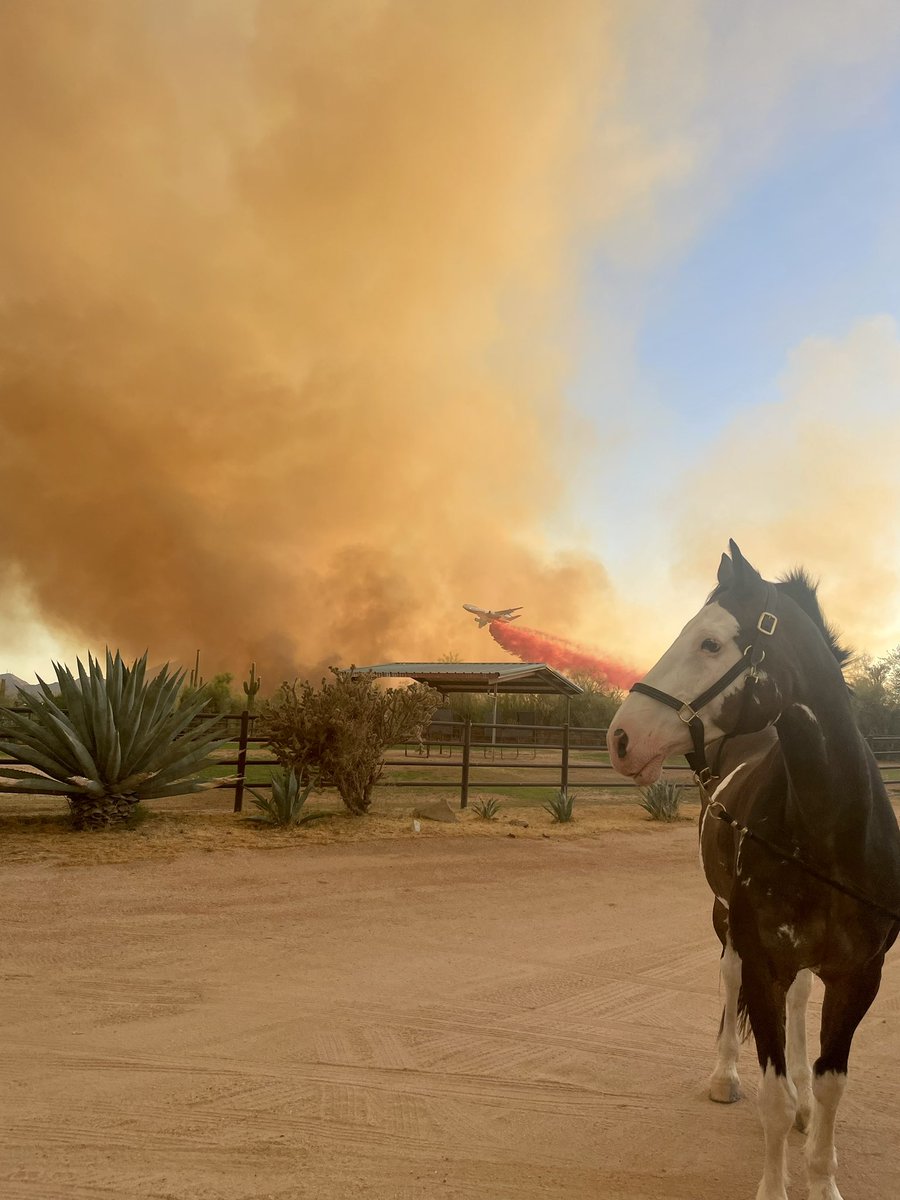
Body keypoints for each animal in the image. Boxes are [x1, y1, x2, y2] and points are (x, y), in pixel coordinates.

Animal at [609, 542, 897, 1200]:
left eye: (711, 643)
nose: (621, 737)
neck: (829, 834)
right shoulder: (763, 959)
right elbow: (771, 1095)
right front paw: (777, 1180)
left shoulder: (859, 976)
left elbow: (831, 1086)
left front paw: (822, 1173)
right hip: (726, 923)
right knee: (728, 978)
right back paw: (724, 1077)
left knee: (800, 1004)